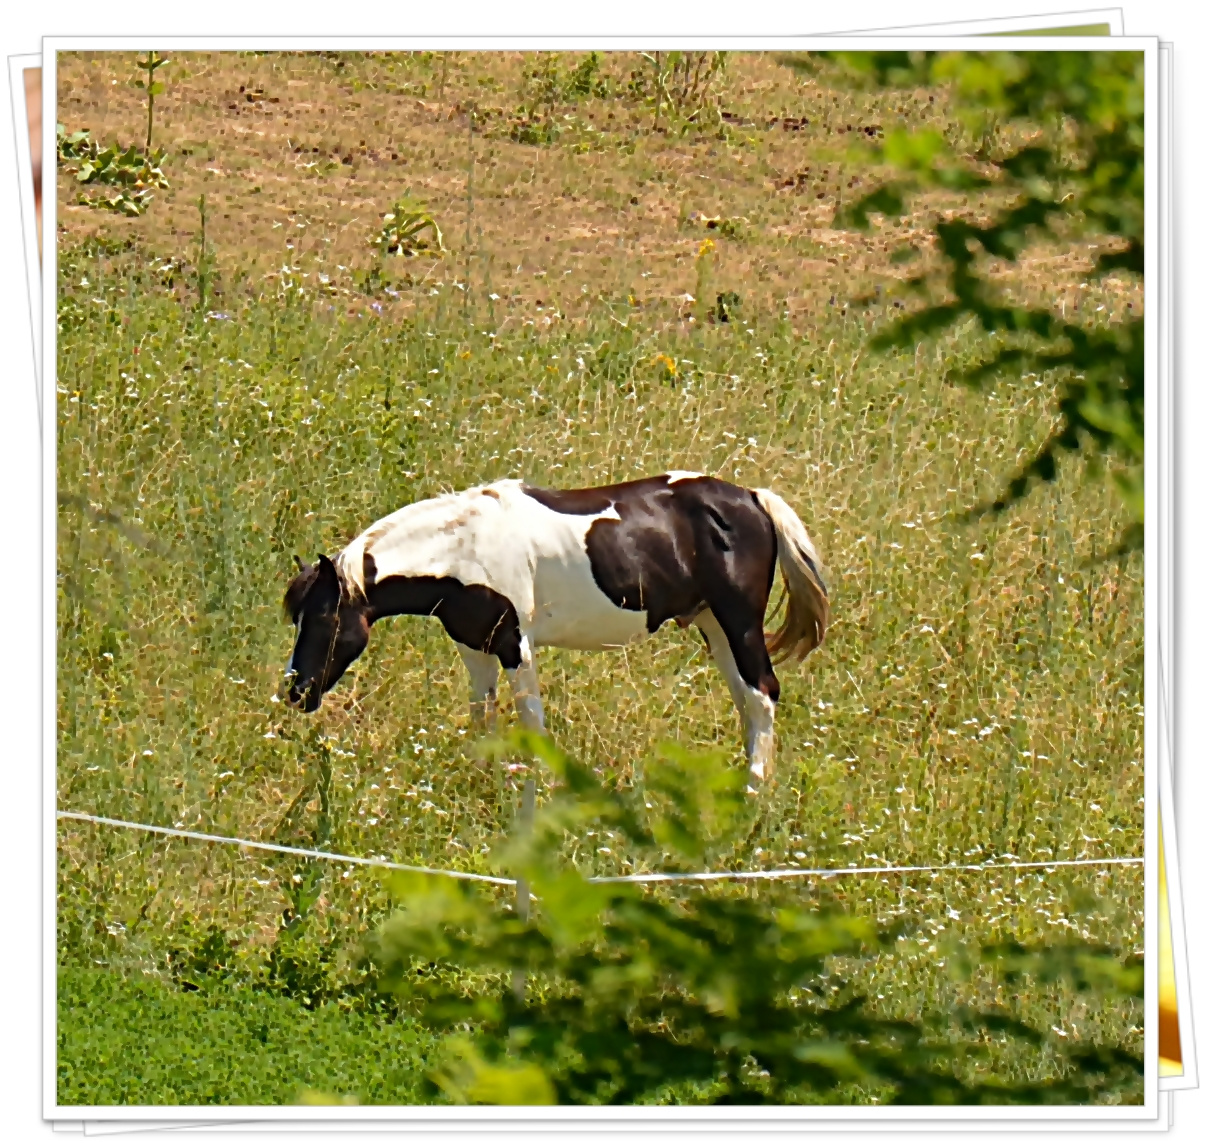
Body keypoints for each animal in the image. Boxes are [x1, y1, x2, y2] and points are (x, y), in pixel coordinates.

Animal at [282, 473, 830, 786]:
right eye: (298, 618)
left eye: (326, 618)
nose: (297, 691)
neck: (462, 548)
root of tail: (752, 498)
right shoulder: (475, 648)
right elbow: (483, 718)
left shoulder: (515, 645)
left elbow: (531, 724)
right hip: (713, 626)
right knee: (746, 702)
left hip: (738, 622)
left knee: (762, 694)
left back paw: (753, 797)